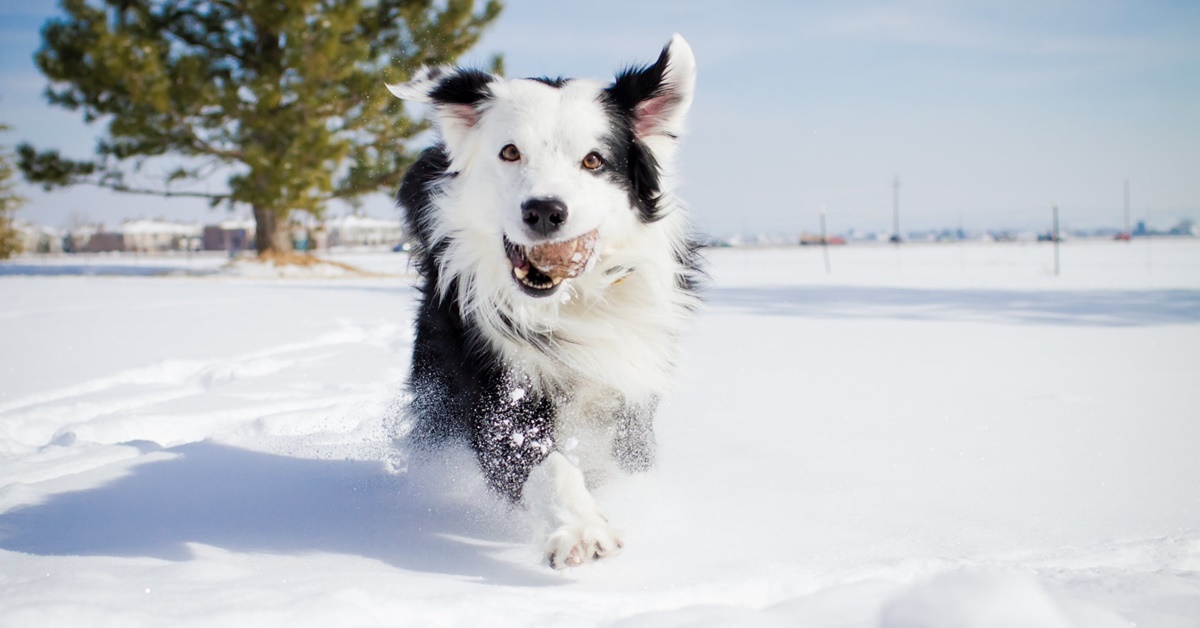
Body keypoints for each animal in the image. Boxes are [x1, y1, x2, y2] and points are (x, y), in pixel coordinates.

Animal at [384, 33, 700, 569]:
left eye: (593, 160)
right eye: (510, 152)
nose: (545, 211)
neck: (569, 303)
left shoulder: (629, 393)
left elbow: (625, 462)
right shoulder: (494, 387)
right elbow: (545, 463)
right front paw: (581, 527)